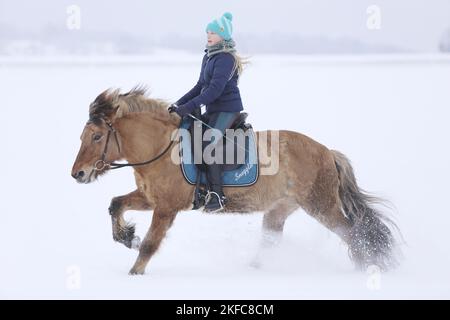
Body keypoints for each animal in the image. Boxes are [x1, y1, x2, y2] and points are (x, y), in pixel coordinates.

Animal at [69, 87, 398, 276]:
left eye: (97, 136)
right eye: (83, 136)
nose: (78, 174)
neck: (161, 146)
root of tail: (327, 152)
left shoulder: (167, 207)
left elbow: (150, 244)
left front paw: (134, 272)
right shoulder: (150, 198)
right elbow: (115, 205)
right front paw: (127, 237)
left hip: (321, 206)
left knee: (353, 234)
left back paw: (363, 270)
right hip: (280, 208)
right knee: (272, 240)